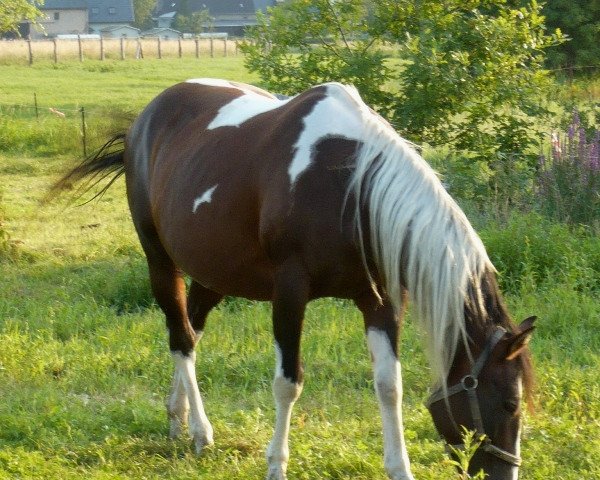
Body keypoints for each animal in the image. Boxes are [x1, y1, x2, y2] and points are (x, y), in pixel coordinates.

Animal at [51, 79, 536, 480]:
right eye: (509, 403)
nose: (505, 475)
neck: (347, 187)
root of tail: (144, 119)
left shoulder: (379, 301)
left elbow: (389, 386)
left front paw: (400, 469)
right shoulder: (289, 293)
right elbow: (288, 384)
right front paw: (276, 465)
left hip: (215, 274)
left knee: (191, 327)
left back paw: (178, 417)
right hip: (160, 261)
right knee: (181, 338)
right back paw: (202, 431)